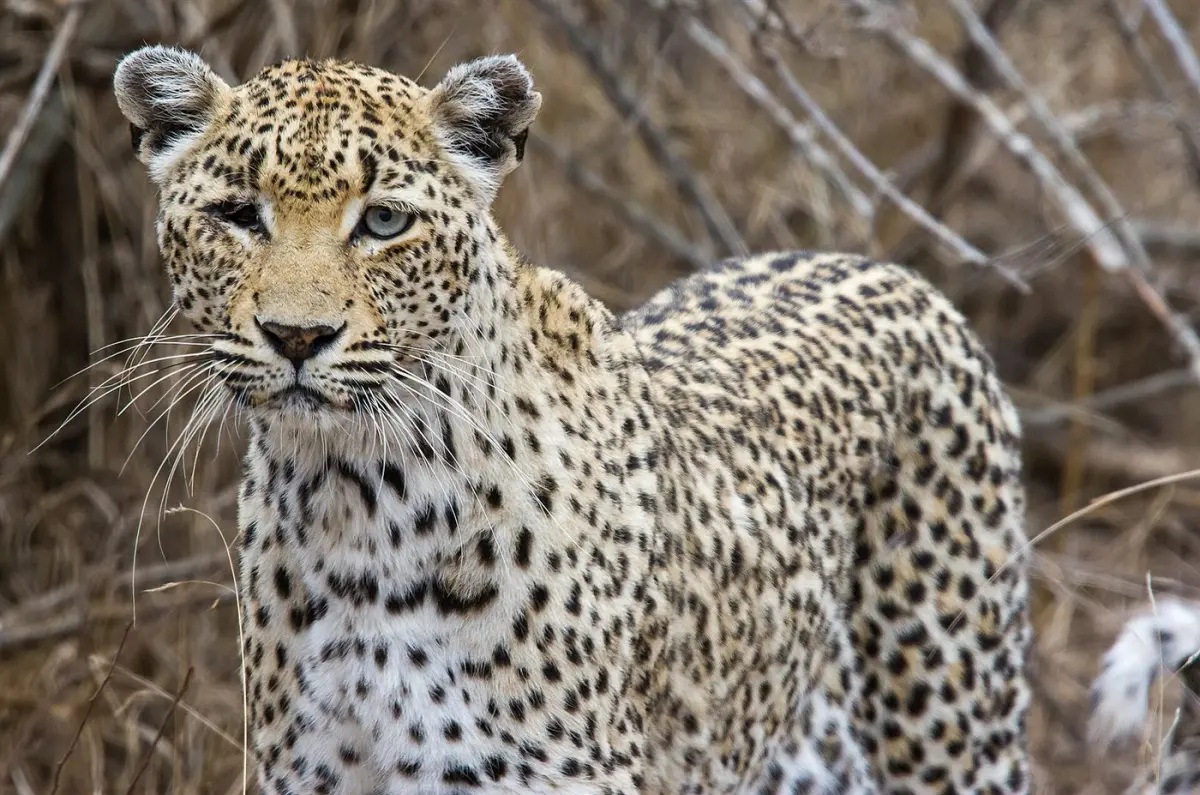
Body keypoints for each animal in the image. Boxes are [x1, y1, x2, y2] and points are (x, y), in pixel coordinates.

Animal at [110, 44, 1040, 795]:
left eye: (383, 221)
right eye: (238, 214)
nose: (297, 335)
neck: (355, 501)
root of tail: (886, 270)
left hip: (952, 721)